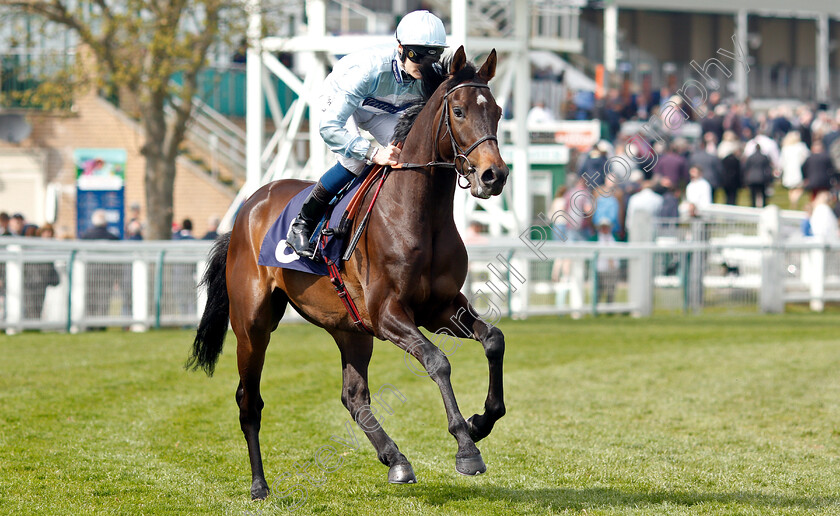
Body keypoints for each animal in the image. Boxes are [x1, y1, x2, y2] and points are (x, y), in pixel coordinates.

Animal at [188, 45, 508, 500]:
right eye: (460, 110)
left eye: (496, 111)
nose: (493, 175)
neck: (418, 214)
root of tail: (248, 207)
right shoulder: (388, 313)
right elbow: (437, 361)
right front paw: (466, 446)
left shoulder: (441, 307)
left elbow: (494, 340)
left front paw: (481, 422)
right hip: (253, 324)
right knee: (249, 402)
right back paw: (259, 485)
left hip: (350, 328)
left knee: (354, 397)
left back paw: (396, 459)